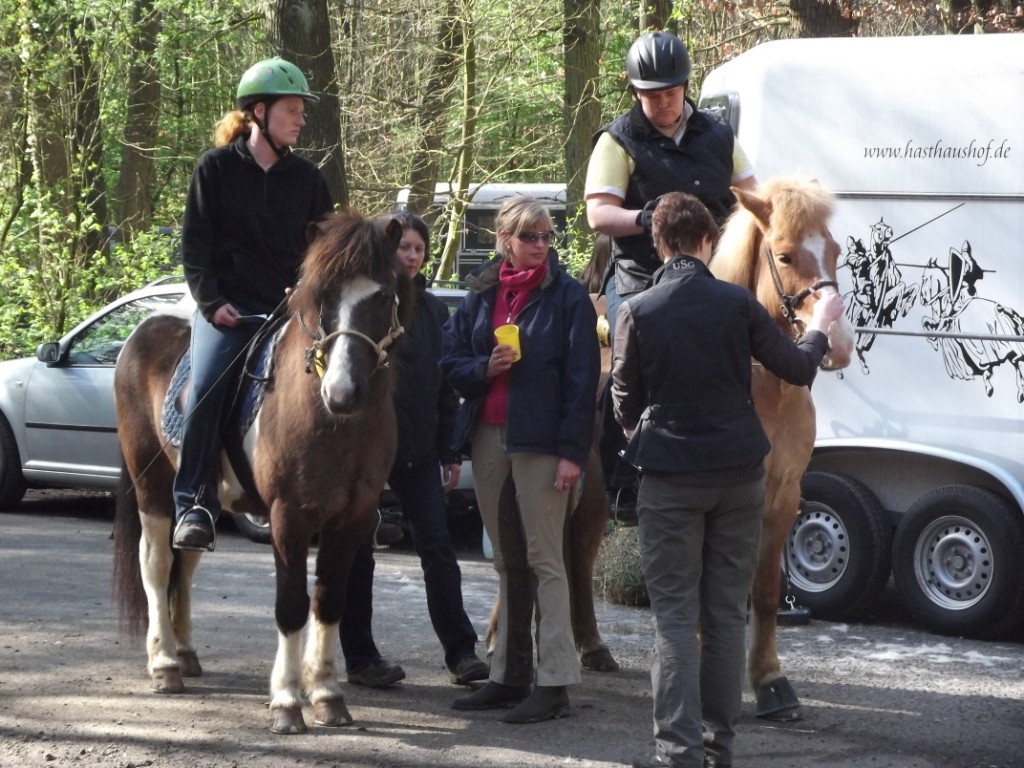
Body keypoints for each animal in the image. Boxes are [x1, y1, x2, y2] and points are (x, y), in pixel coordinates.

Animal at [113, 210, 415, 733]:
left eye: (381, 296)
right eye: (322, 297)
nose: (341, 392)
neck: (331, 420)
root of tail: (141, 329)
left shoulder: (352, 519)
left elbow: (328, 600)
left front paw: (327, 694)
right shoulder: (288, 516)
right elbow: (291, 605)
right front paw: (287, 701)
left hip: (198, 500)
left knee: (185, 562)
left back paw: (185, 654)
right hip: (151, 487)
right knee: (157, 564)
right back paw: (165, 664)